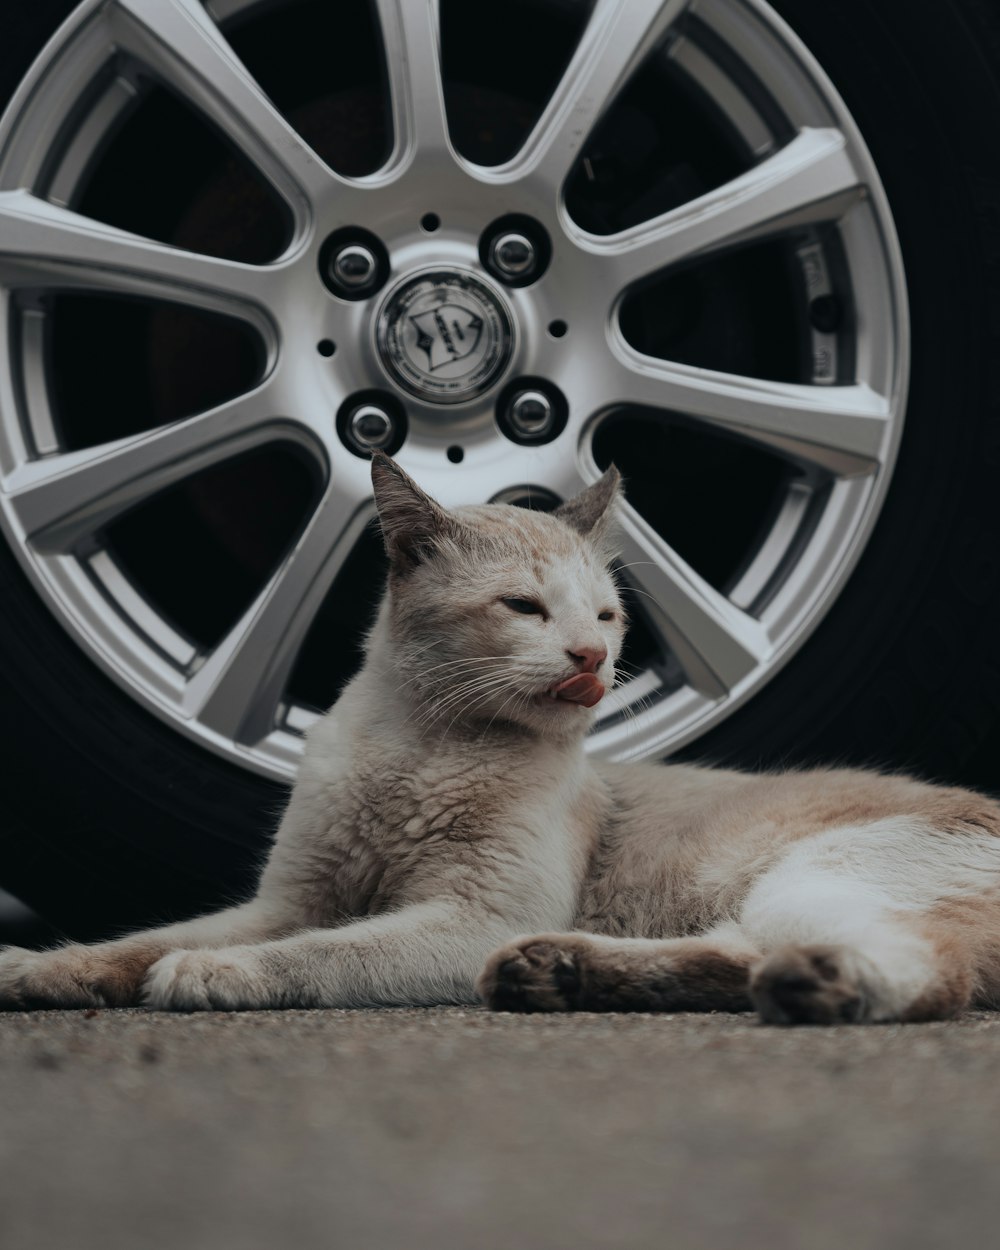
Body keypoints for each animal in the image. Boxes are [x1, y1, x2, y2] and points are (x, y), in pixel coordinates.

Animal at [1, 452, 1000, 1025]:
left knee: (927, 975)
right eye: (525, 608)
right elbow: (140, 940)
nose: (595, 656)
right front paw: (42, 971)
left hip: (810, 877)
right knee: (739, 956)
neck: (419, 749)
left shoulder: (468, 919)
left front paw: (213, 973)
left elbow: (320, 952)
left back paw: (810, 987)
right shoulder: (288, 900)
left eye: (607, 617)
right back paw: (561, 976)